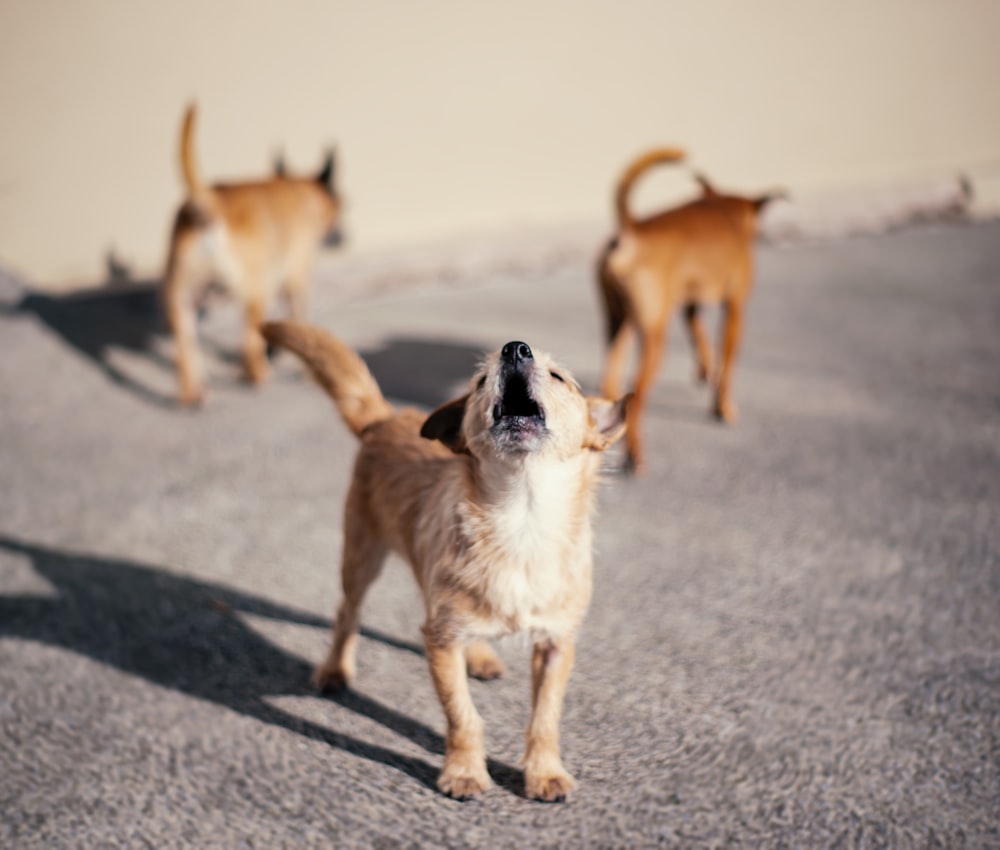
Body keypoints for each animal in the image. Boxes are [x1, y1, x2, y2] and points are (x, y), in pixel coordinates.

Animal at [160, 104, 340, 406]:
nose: (342, 235)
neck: (296, 189)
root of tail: (209, 204)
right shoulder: (296, 277)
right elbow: (300, 315)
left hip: (181, 297)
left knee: (185, 347)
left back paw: (194, 393)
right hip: (256, 292)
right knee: (249, 343)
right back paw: (258, 376)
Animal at [262, 322, 628, 800]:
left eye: (559, 377)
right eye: (479, 381)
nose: (515, 349)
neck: (521, 522)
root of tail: (385, 419)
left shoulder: (555, 643)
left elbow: (545, 718)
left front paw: (544, 772)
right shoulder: (441, 643)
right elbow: (462, 715)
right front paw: (464, 771)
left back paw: (480, 656)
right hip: (361, 555)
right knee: (347, 613)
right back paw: (335, 669)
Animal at [592, 149, 780, 474]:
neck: (724, 209)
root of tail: (633, 228)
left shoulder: (690, 304)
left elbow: (700, 337)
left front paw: (705, 371)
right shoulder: (734, 309)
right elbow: (728, 362)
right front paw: (723, 408)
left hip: (619, 324)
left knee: (611, 384)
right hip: (654, 337)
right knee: (636, 396)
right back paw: (635, 455)